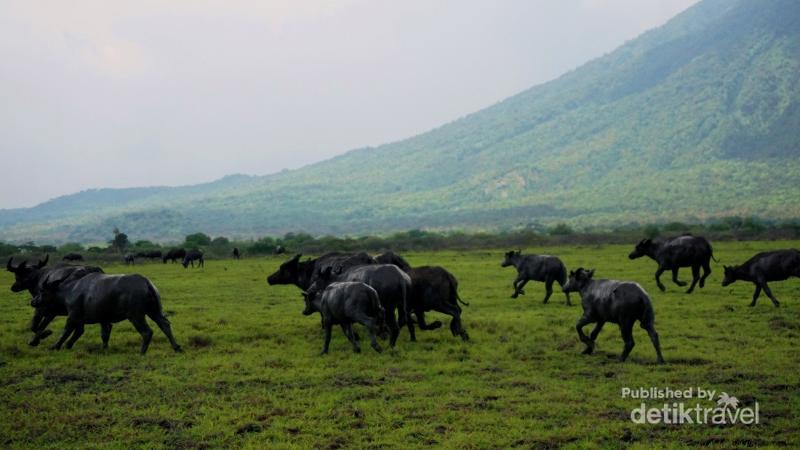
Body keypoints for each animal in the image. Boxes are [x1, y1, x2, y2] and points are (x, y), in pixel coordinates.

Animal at [32, 270, 183, 356]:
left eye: (42, 291)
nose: (33, 301)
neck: (70, 291)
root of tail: (146, 282)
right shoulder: (102, 320)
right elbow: (101, 334)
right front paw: (103, 349)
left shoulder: (73, 316)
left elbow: (66, 331)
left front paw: (55, 346)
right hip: (154, 311)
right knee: (165, 325)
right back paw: (176, 347)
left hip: (136, 315)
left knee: (147, 332)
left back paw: (141, 352)